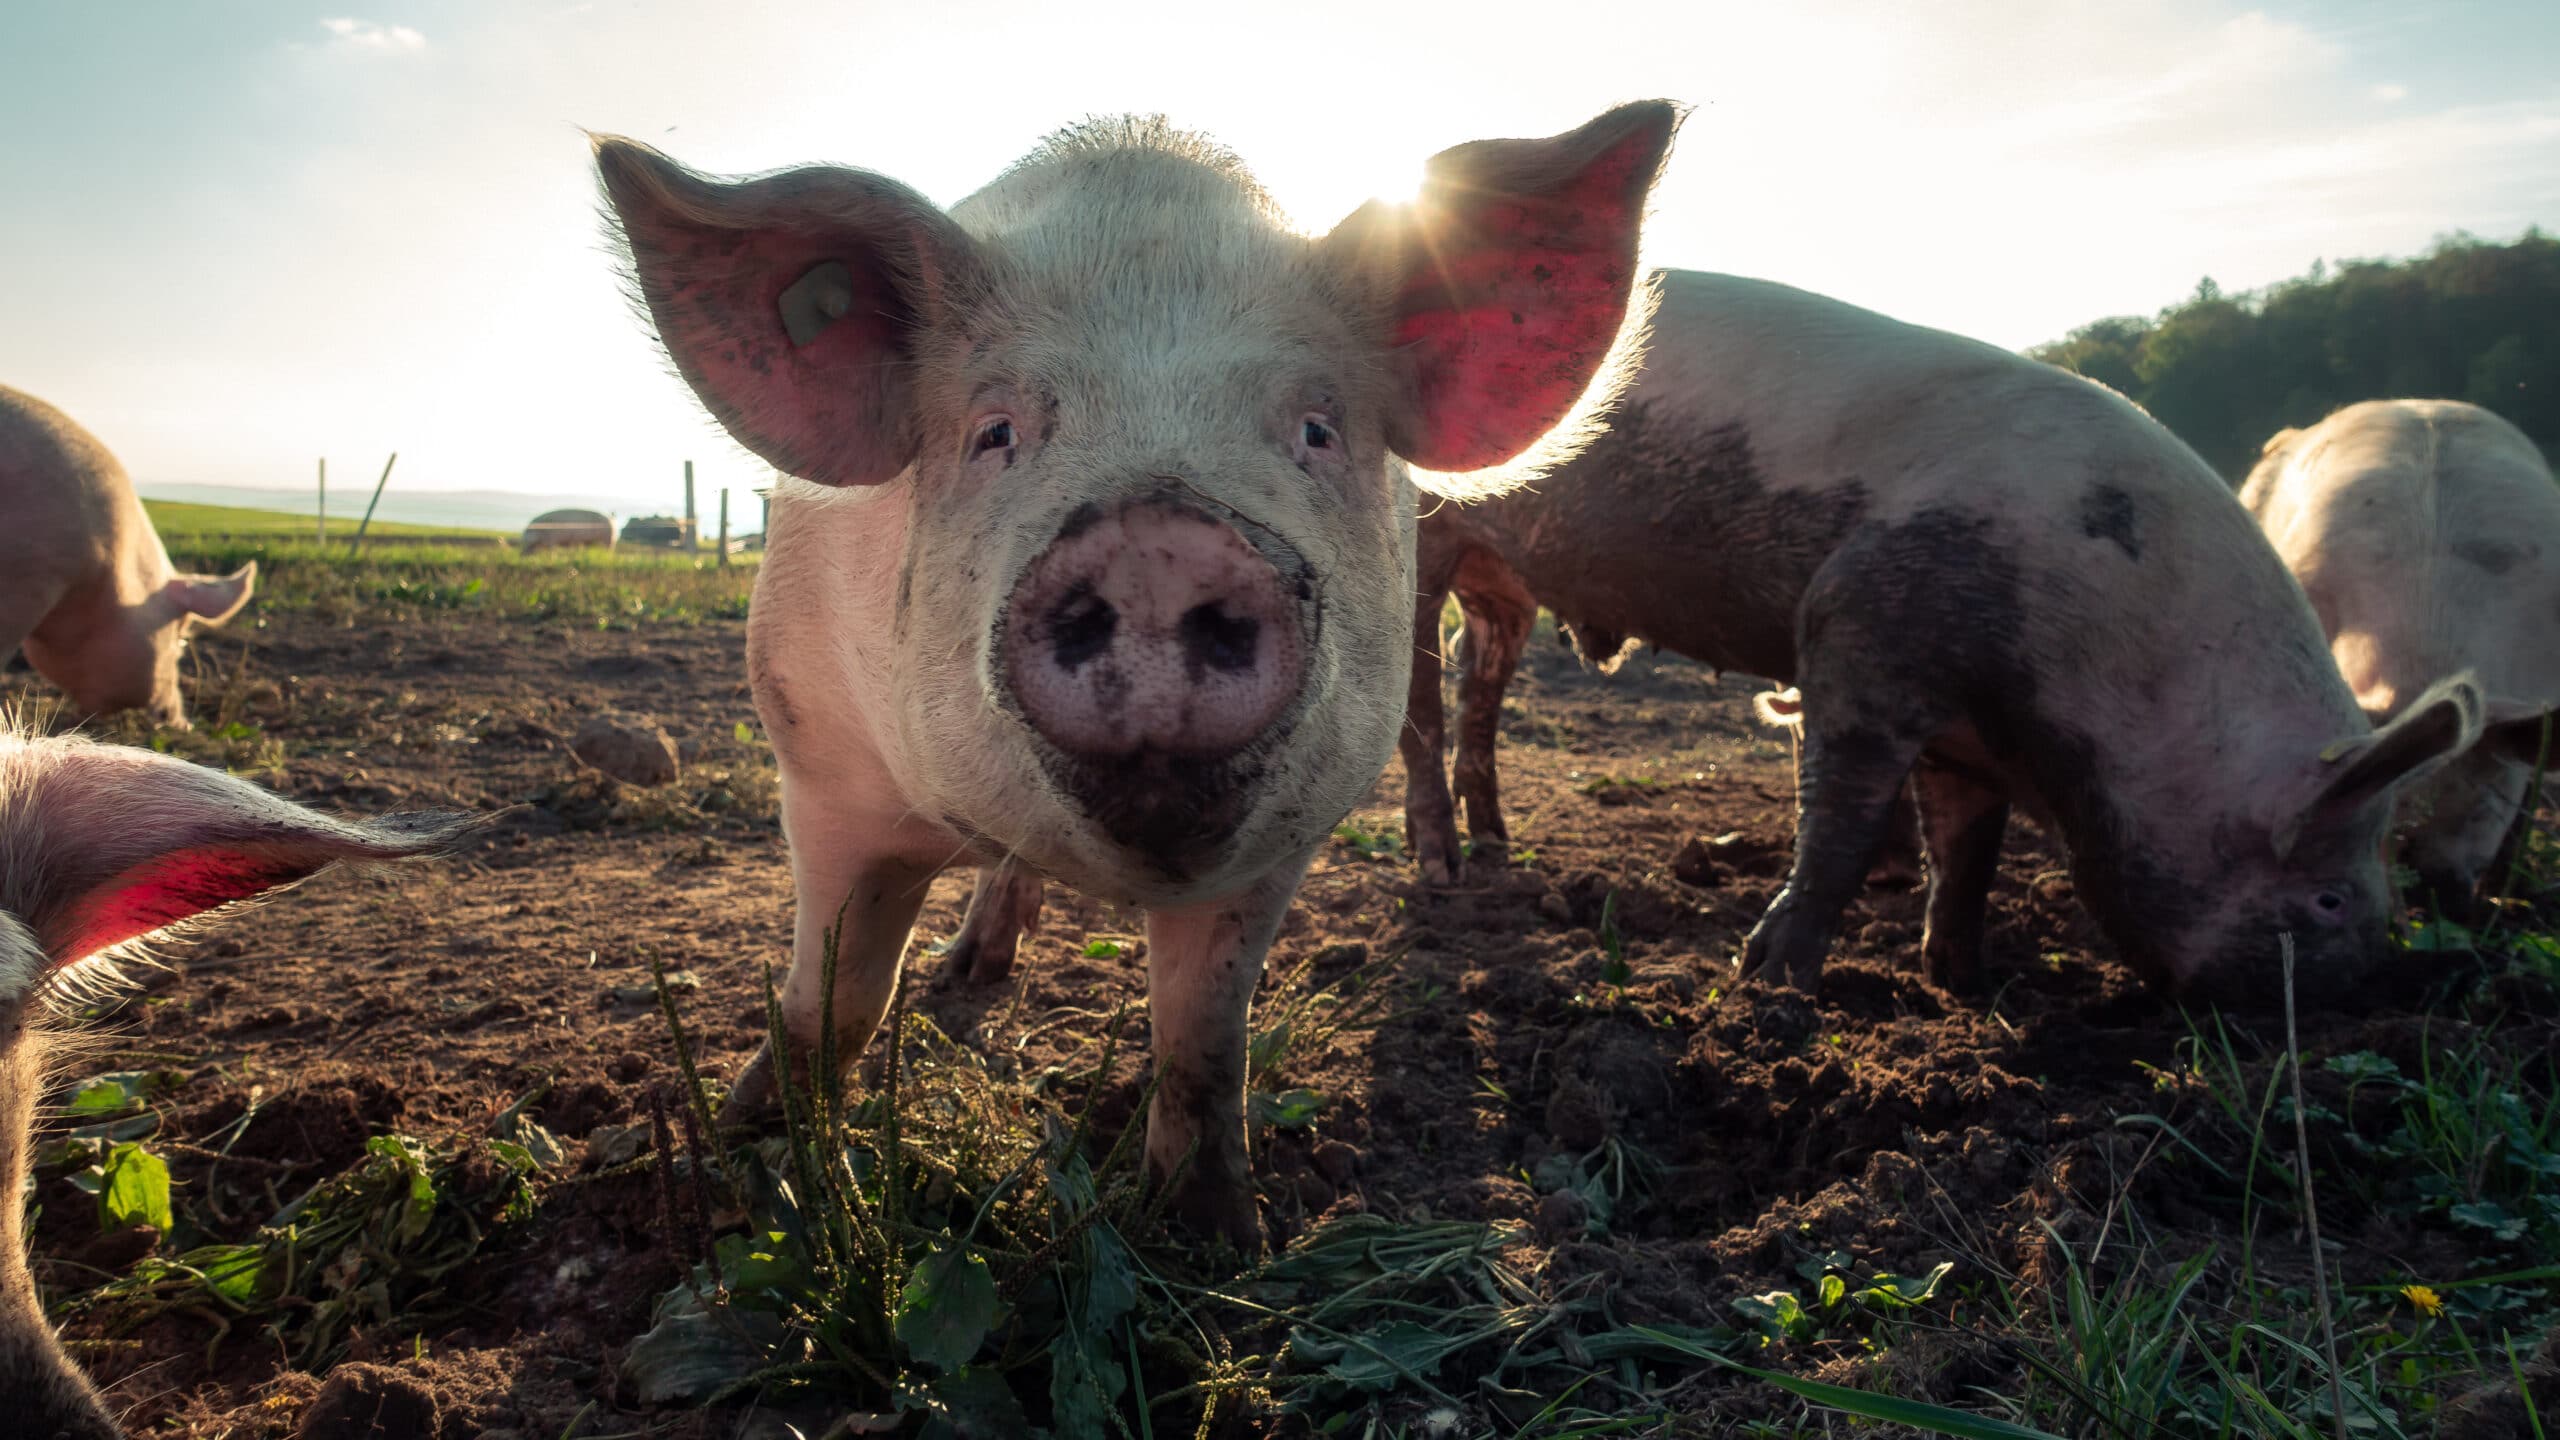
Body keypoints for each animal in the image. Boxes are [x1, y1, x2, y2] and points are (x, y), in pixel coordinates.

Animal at [593, 103, 1679, 1245]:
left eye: (1316, 429)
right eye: (995, 431)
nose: (1159, 539)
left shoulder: (1288, 835)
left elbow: (1203, 1038)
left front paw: (1215, 1241)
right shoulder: (819, 763)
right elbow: (834, 998)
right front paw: (747, 1162)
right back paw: (964, 973)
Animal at [1402, 274, 2478, 1004]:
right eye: (2328, 899)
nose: (2364, 997)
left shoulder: (1972, 737)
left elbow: (1969, 851)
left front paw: (1966, 983)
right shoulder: (1859, 632)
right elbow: (1838, 824)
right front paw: (1771, 989)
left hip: (1505, 585)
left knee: (1476, 683)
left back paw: (1498, 847)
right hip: (1421, 533)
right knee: (1417, 702)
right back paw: (1441, 868)